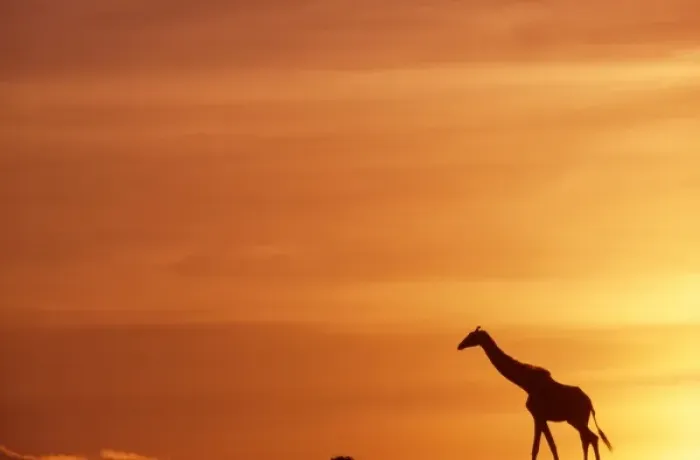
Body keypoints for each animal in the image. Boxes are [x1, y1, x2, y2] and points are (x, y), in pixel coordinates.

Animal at [457, 326, 613, 460]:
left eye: (472, 336)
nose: (460, 345)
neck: (526, 384)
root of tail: (590, 403)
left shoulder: (538, 415)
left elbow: (541, 447)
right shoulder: (540, 417)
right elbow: (546, 446)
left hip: (577, 419)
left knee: (591, 438)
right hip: (576, 420)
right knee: (587, 438)